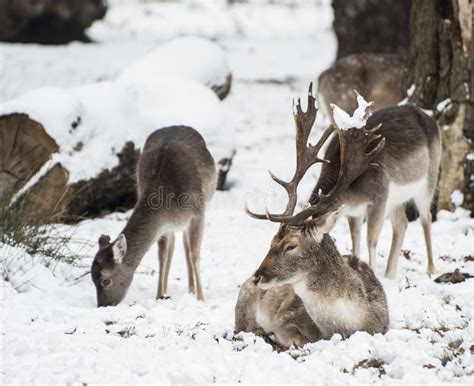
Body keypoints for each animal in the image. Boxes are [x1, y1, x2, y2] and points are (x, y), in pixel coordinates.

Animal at [91, 126, 217, 308]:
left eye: (106, 280)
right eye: (91, 279)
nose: (102, 305)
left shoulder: (198, 213)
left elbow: (194, 254)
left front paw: (201, 298)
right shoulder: (163, 227)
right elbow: (162, 256)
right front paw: (159, 295)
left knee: (186, 244)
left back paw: (192, 289)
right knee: (174, 245)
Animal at [236, 83, 388, 346]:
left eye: (291, 246)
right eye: (271, 242)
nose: (257, 277)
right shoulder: (285, 318)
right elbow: (298, 338)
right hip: (242, 308)